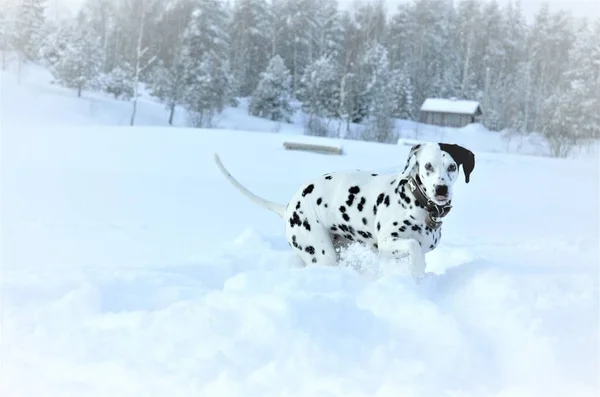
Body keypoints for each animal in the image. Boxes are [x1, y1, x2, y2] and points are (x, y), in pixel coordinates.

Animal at [213, 142, 476, 282]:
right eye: (428, 166)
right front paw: (417, 274)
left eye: (452, 166)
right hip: (322, 253)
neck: (416, 201)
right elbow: (413, 248)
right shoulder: (387, 243)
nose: (441, 189)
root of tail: (288, 206)